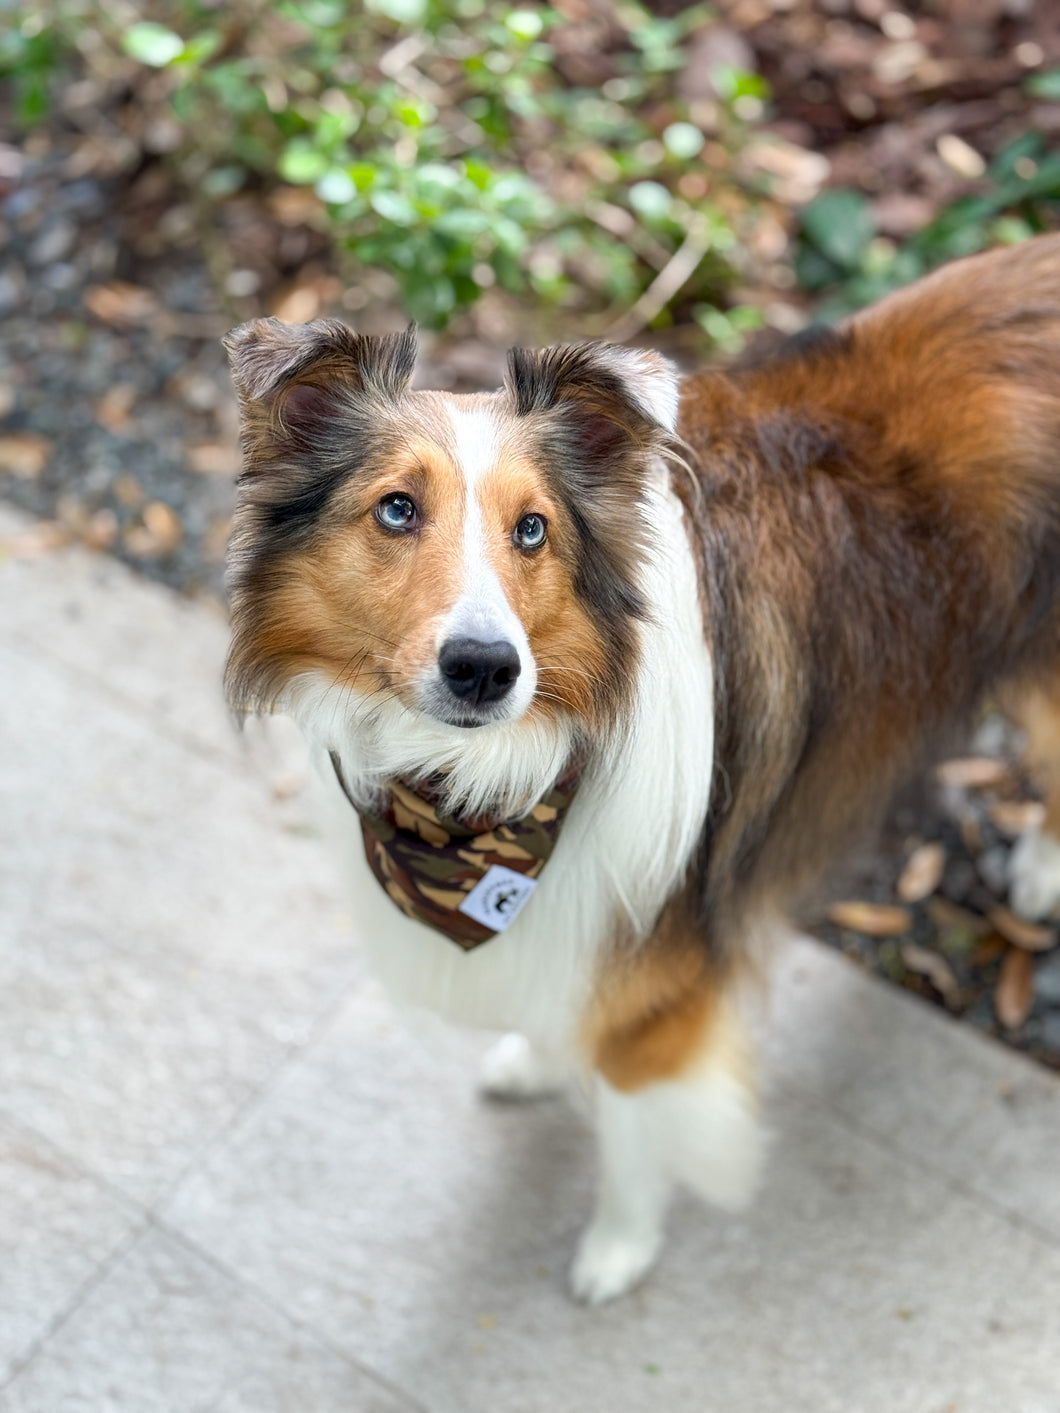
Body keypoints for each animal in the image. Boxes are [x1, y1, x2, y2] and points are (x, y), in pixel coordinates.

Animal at [220, 231, 1060, 1299]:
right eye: (397, 510)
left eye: (533, 527)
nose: (487, 668)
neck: (498, 791)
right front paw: (540, 1061)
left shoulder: (659, 989)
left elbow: (629, 1126)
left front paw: (616, 1250)